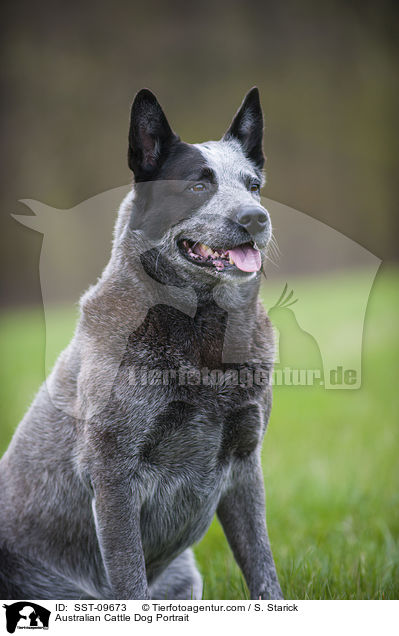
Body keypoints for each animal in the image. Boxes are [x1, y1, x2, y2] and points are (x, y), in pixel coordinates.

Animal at [0, 89, 282, 600]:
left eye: (252, 185)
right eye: (197, 186)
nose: (256, 218)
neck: (200, 332)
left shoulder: (245, 464)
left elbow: (263, 569)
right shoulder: (113, 473)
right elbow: (129, 581)